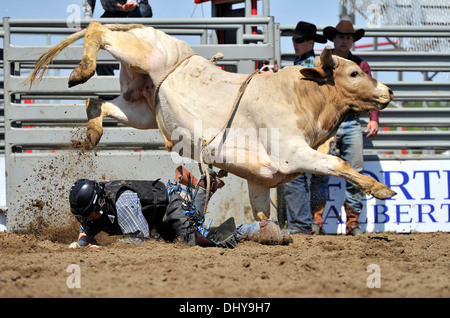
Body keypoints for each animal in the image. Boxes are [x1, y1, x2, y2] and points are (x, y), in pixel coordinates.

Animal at [26, 21, 396, 221]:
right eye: (353, 73)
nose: (388, 90)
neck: (301, 95)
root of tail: (146, 28)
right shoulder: (293, 153)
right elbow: (338, 164)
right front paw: (381, 189)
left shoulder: (262, 177)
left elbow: (262, 213)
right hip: (142, 53)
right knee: (98, 29)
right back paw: (81, 71)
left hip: (142, 108)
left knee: (96, 103)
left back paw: (91, 131)